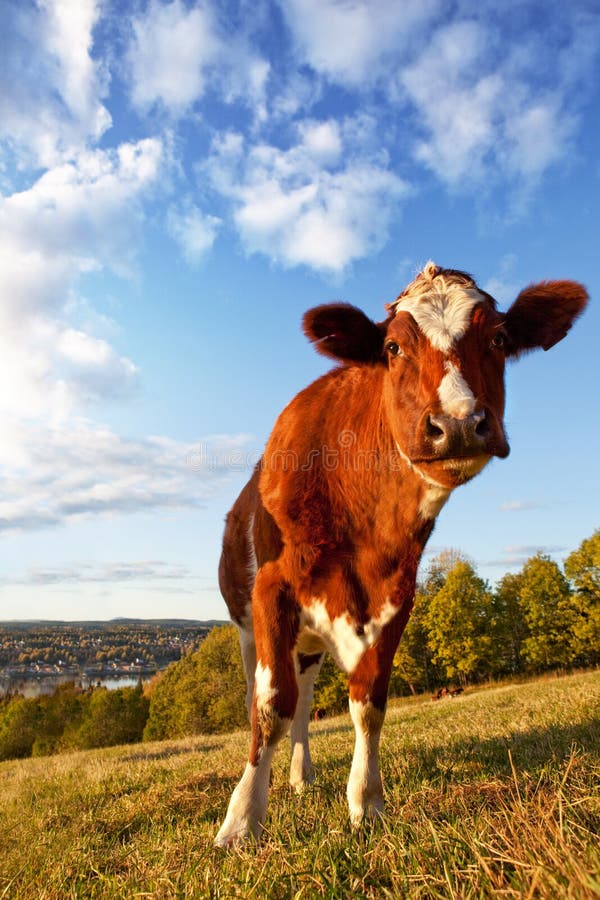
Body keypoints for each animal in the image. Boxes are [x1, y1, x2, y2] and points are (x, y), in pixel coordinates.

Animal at [214, 262, 587, 847]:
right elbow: (270, 707)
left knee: (305, 701)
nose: (458, 423)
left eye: (500, 339)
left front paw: (366, 803)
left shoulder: (396, 596)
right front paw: (242, 819)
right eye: (391, 347)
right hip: (248, 625)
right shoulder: (273, 589)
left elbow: (368, 703)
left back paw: (301, 777)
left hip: (309, 644)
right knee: (265, 695)